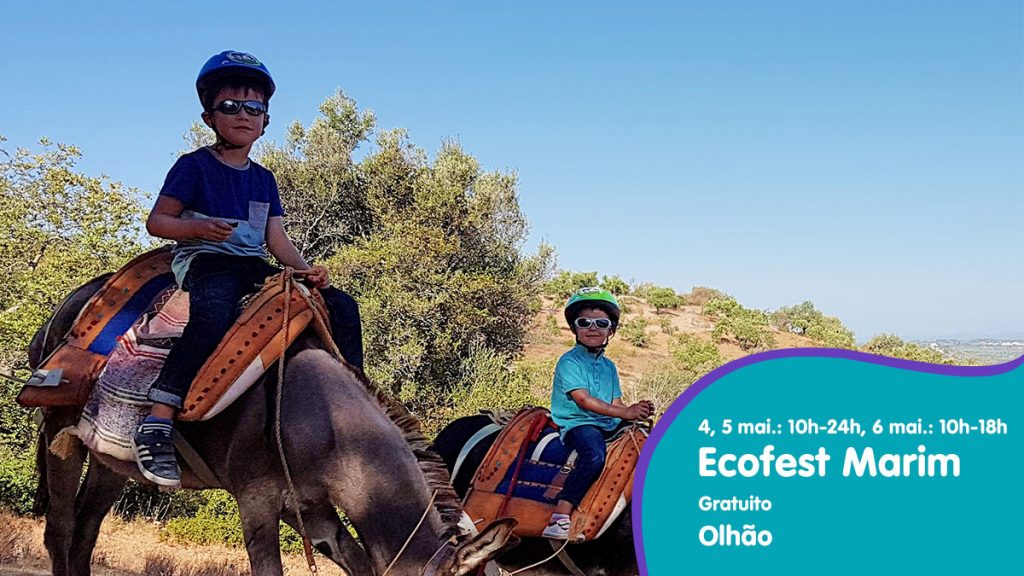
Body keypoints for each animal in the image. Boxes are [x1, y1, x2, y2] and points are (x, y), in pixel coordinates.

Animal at [28, 276, 518, 576]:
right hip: (59, 436)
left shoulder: (312, 510)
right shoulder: (257, 502)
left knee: (85, 532)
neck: (324, 420)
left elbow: (357, 562)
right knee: (60, 530)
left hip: (109, 460)